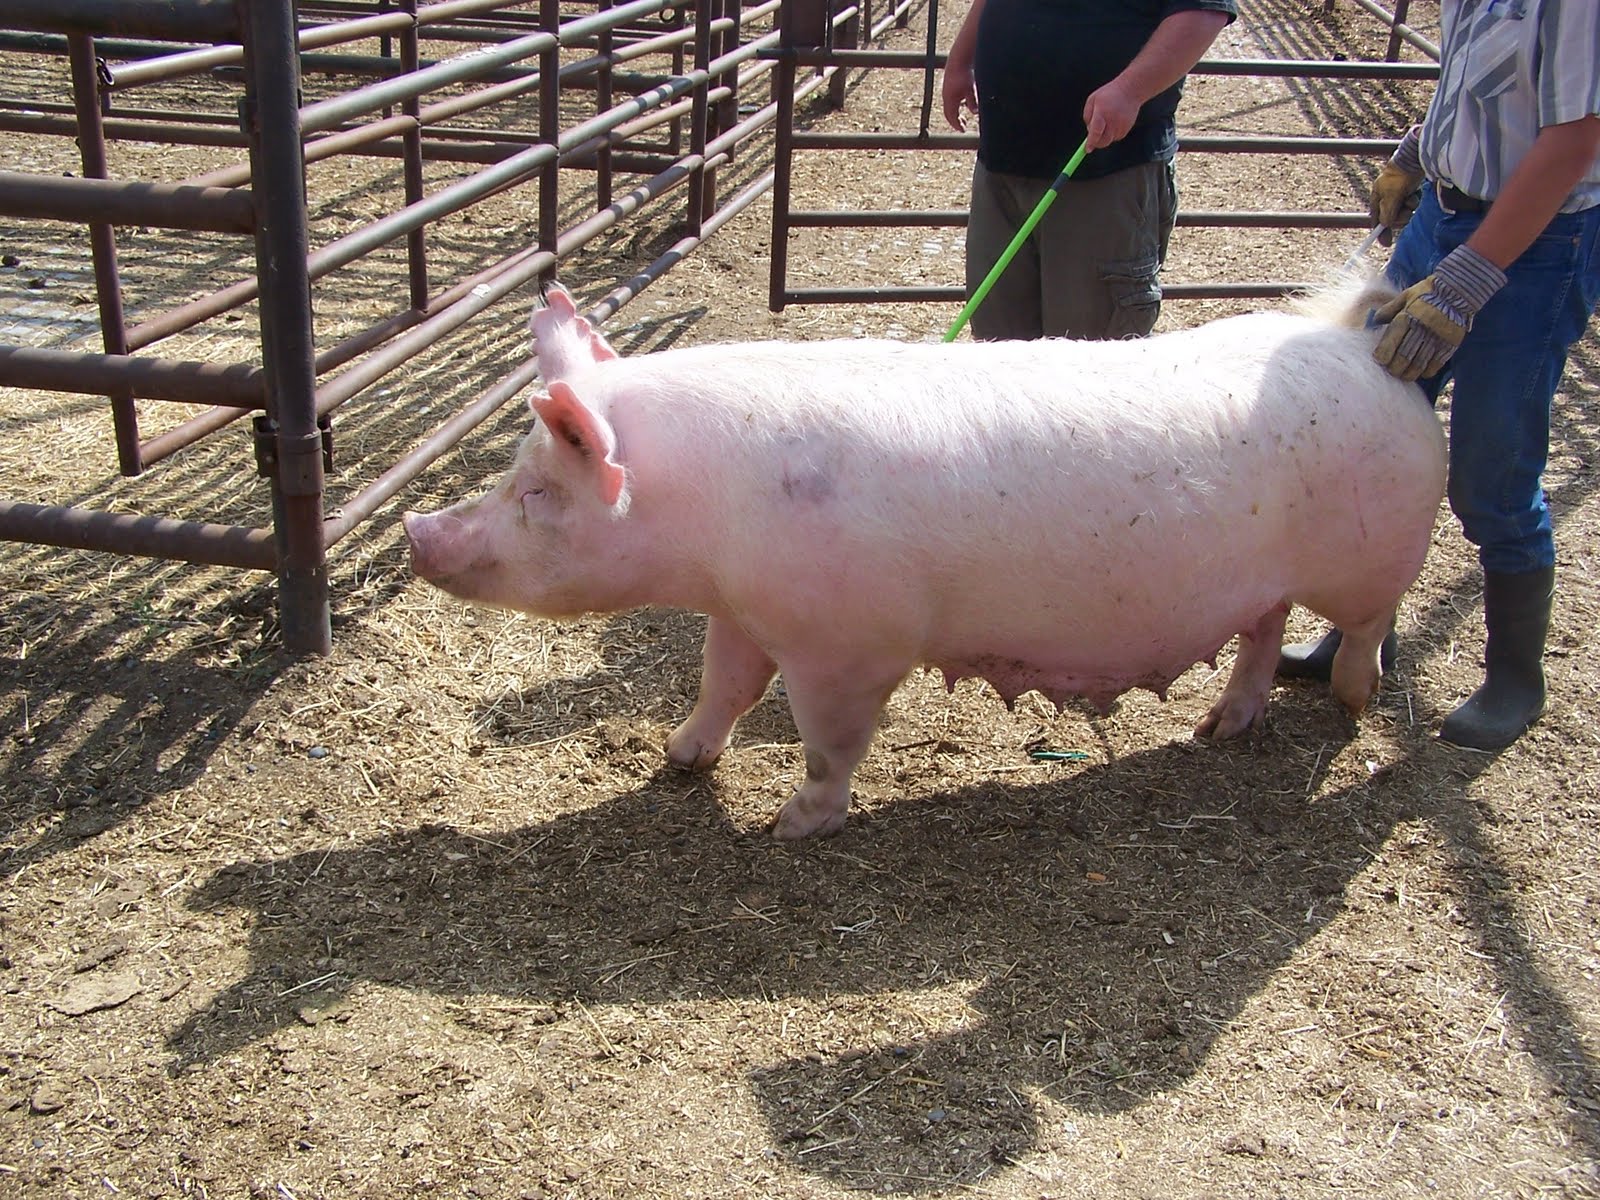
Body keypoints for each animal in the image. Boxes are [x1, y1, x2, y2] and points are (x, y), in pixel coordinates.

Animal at [404, 282, 1446, 839]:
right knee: (1262, 632)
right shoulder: (744, 608)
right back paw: (1218, 730)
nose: (418, 529)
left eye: (538, 494)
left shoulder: (849, 645)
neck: (705, 510)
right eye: (515, 475)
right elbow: (723, 685)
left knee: (1367, 624)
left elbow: (828, 739)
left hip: (1371, 559)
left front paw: (791, 826)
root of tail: (1364, 346)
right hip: (1264, 583)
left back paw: (1350, 702)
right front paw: (679, 758)